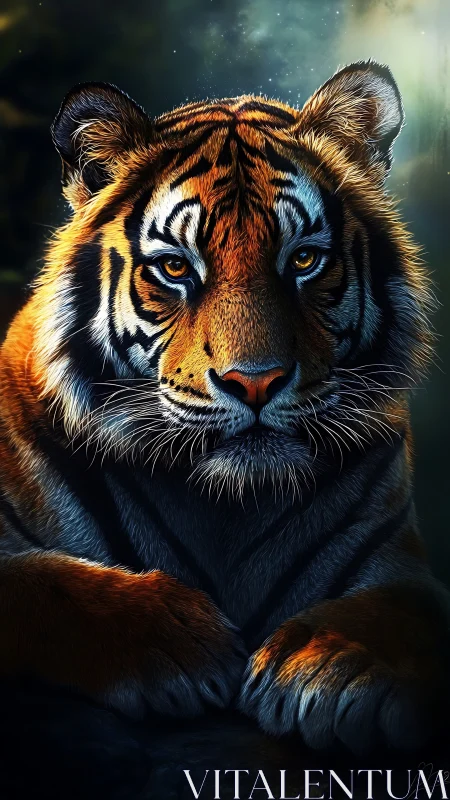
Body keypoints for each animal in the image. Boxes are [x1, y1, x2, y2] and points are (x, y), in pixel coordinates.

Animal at [0, 60, 448, 756]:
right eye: (176, 268)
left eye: (303, 259)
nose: (255, 382)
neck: (227, 507)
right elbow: (42, 580)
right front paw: (176, 641)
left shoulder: (398, 557)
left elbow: (405, 607)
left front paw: (332, 665)